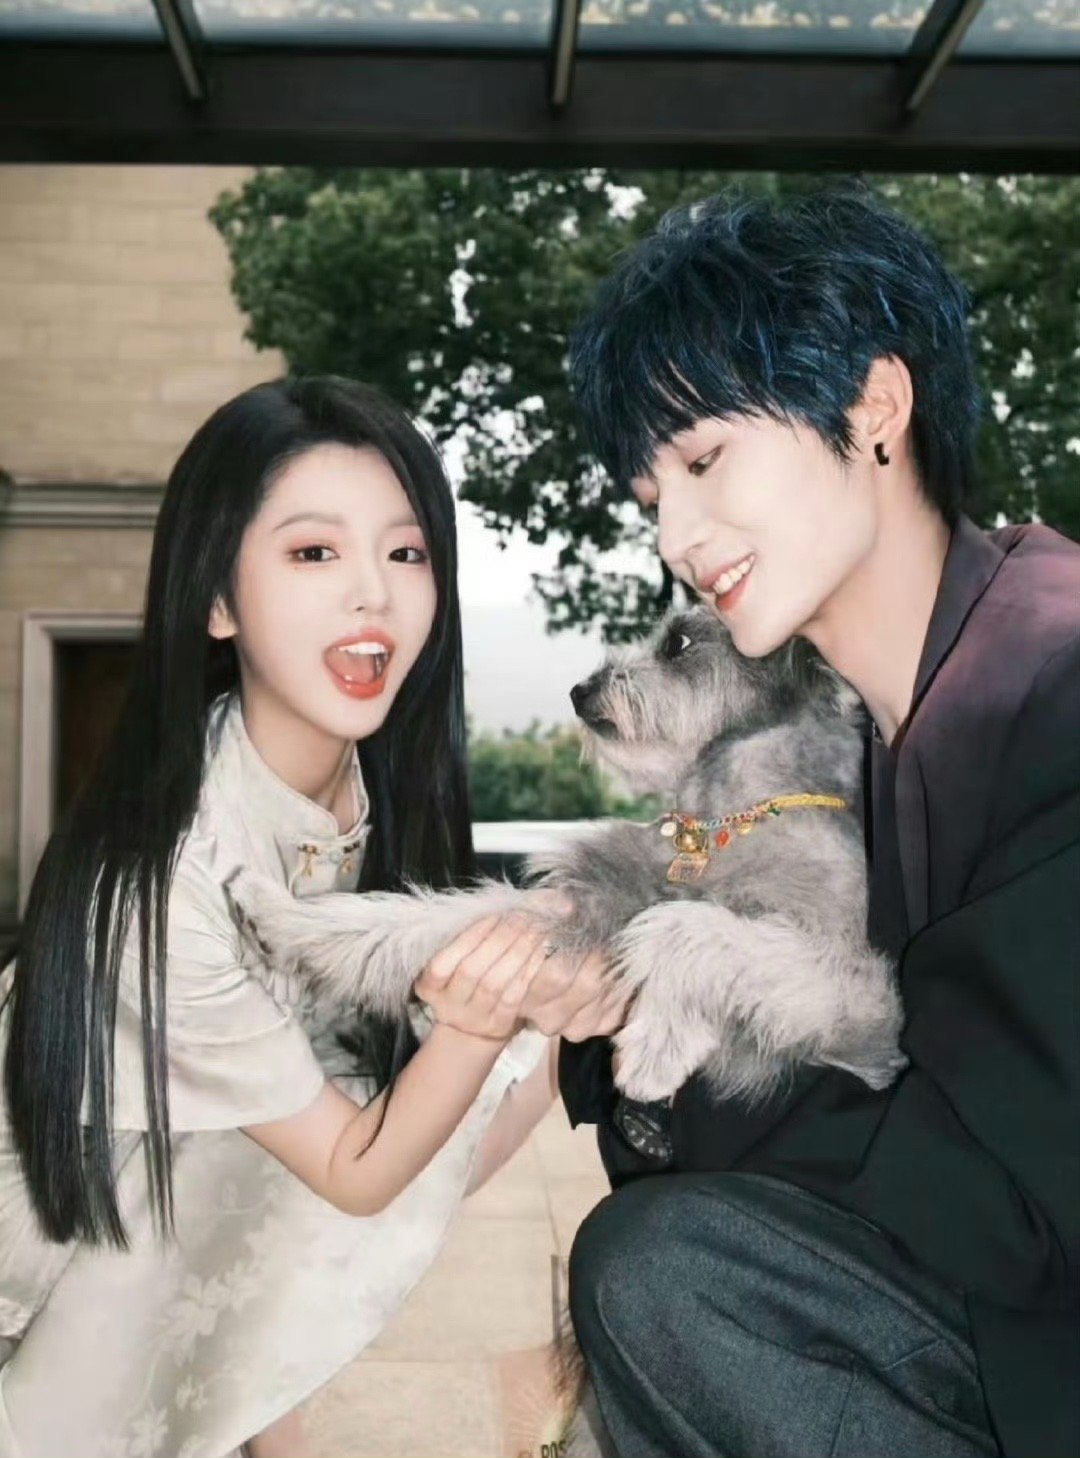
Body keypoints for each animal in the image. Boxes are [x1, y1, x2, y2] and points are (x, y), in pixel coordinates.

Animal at [226, 605, 905, 1108]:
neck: (720, 826)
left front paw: (656, 1046)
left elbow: (685, 929)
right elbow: (416, 920)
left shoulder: (864, 993)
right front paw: (279, 916)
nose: (580, 691)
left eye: (679, 642)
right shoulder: (582, 905)